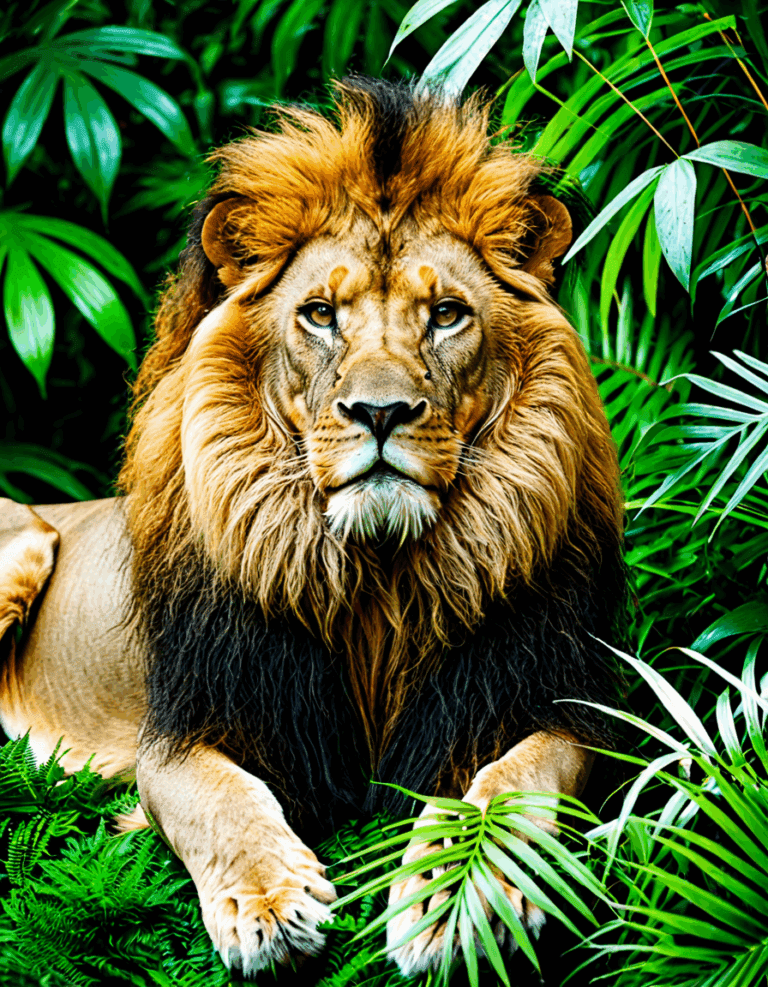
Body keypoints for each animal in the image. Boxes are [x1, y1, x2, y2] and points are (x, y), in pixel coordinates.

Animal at [0, 78, 625, 977]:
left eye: (446, 314)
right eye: (321, 314)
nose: (380, 411)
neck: (378, 578)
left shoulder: (552, 700)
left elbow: (515, 782)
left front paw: (455, 893)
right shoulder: (185, 728)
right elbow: (221, 799)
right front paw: (266, 902)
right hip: (25, 543)